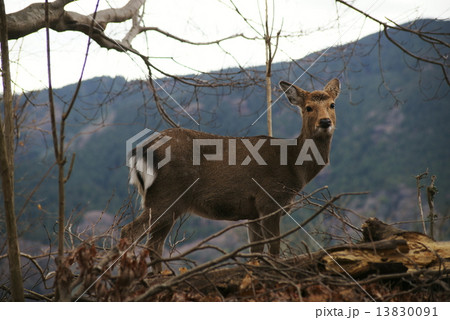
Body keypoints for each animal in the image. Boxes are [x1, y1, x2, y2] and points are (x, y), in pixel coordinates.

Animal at [121, 77, 340, 272]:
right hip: (166, 195)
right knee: (130, 232)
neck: (293, 167)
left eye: (332, 104)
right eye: (308, 107)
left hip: (168, 204)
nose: (325, 122)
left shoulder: (253, 212)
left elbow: (256, 250)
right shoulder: (269, 199)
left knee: (153, 245)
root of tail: (142, 150)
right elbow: (274, 248)